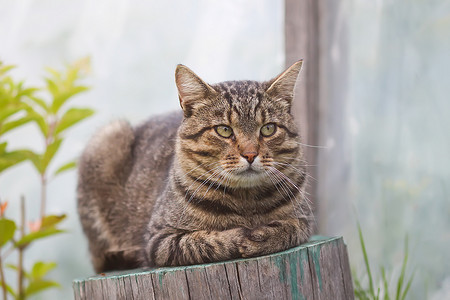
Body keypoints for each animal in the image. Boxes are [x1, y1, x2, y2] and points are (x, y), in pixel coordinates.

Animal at [77, 60, 312, 272]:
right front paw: (241, 235)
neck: (246, 202)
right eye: (224, 130)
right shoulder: (158, 239)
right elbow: (204, 241)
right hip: (108, 137)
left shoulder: (305, 219)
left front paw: (264, 235)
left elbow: (292, 228)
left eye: (268, 129)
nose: (250, 154)